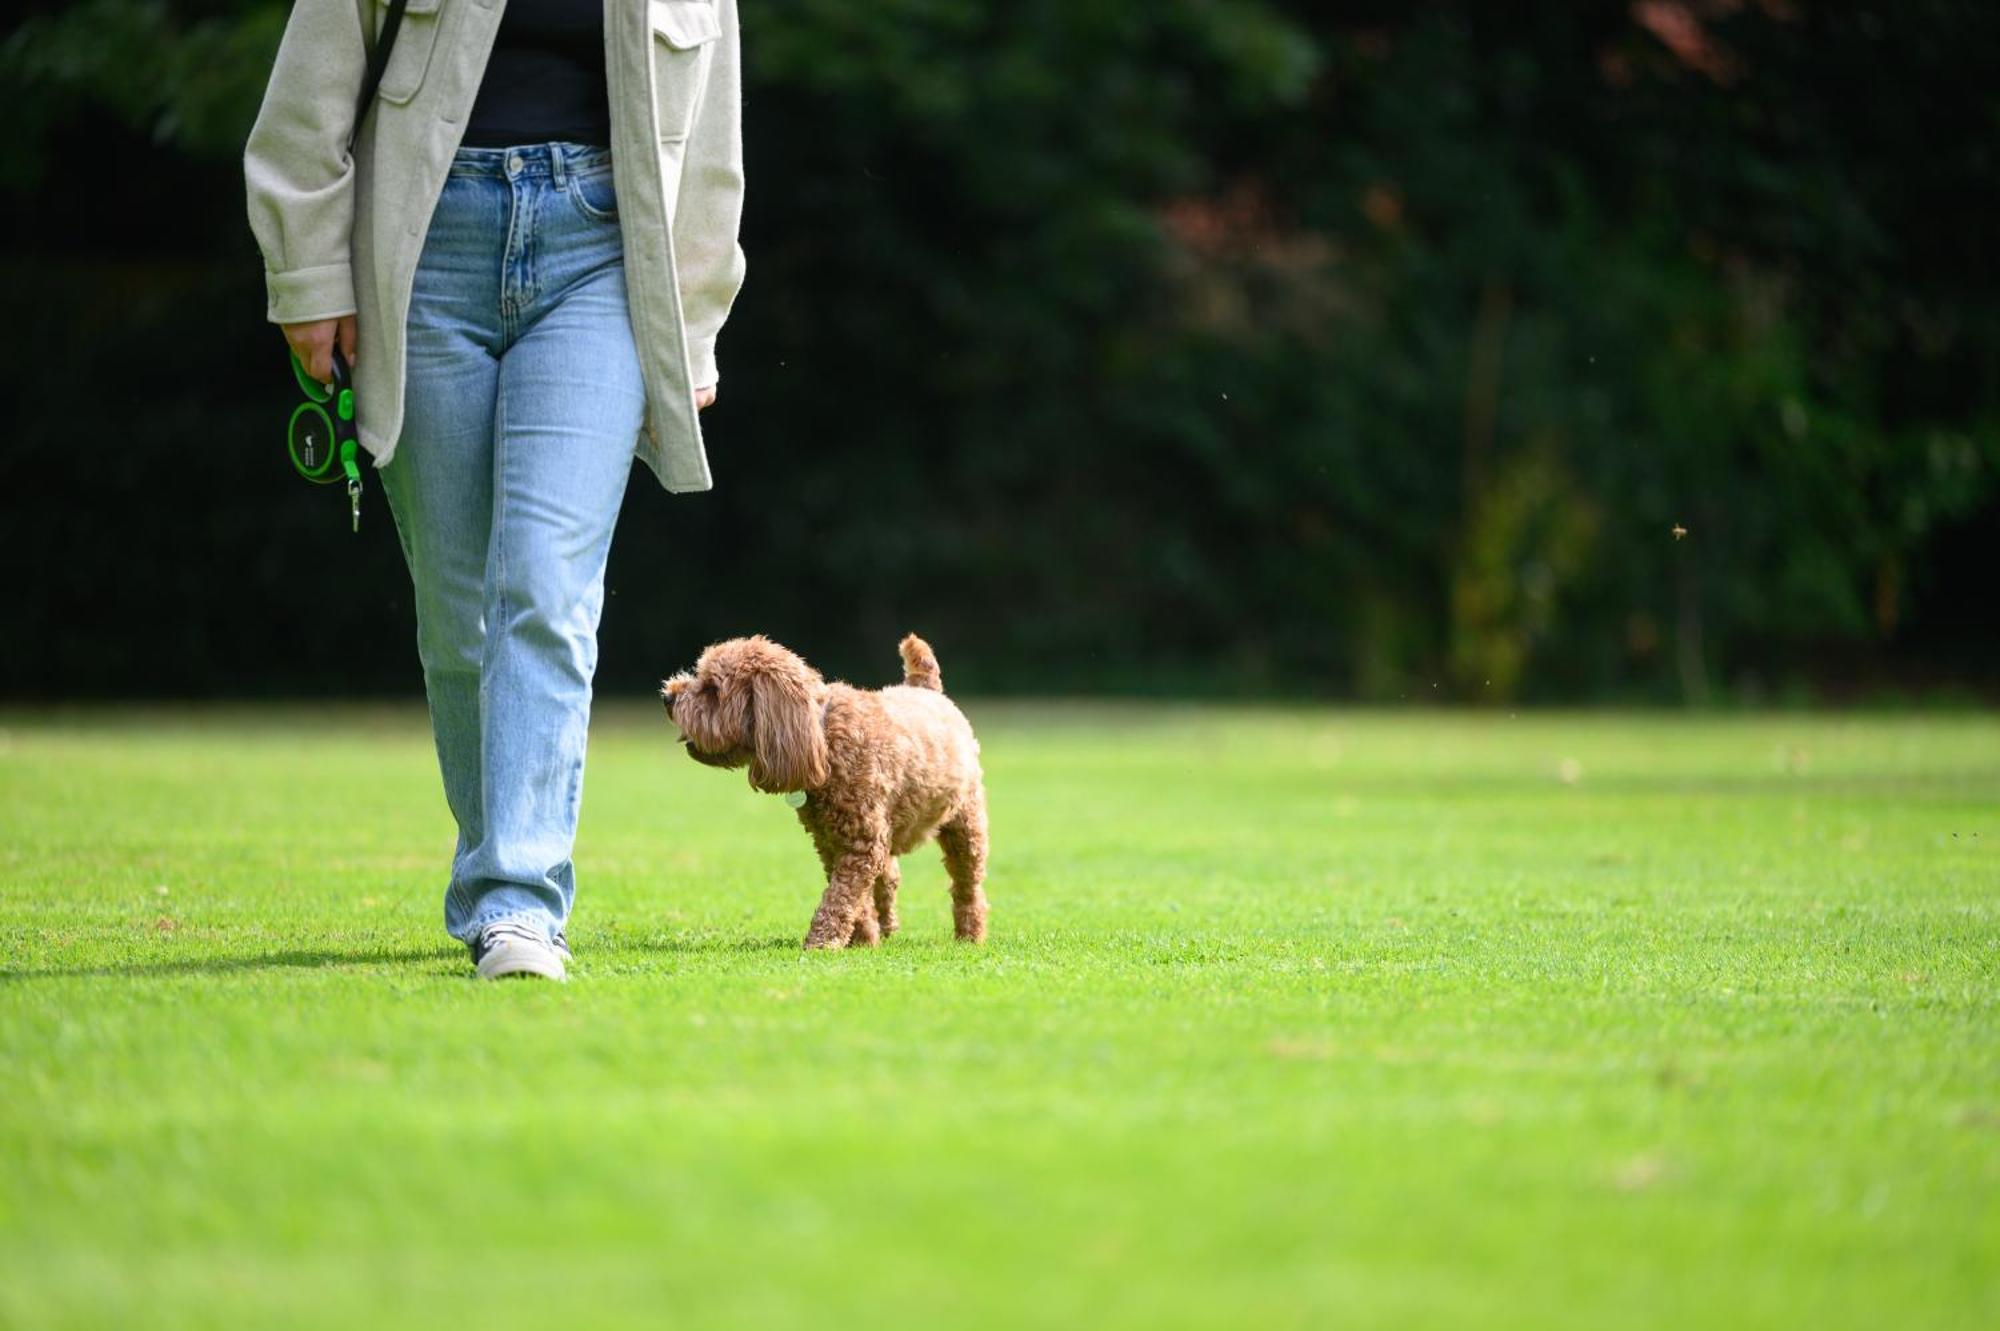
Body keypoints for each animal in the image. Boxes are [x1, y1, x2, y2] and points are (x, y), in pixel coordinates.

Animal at [664, 631, 992, 943]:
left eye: (712, 689)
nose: (668, 695)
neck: (821, 734)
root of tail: (925, 689)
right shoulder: (830, 843)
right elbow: (855, 898)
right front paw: (862, 938)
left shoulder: (862, 846)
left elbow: (840, 897)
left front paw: (823, 941)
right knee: (890, 877)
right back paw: (886, 926)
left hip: (965, 824)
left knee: (967, 884)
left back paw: (970, 933)